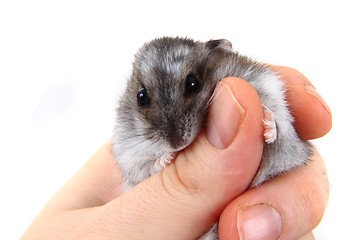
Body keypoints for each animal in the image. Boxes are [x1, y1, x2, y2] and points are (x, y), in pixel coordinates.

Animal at [112, 36, 312, 239]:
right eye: (141, 96)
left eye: (192, 84)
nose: (177, 144)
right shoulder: (130, 158)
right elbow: (150, 166)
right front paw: (167, 159)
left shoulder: (268, 86)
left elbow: (281, 124)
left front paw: (268, 128)